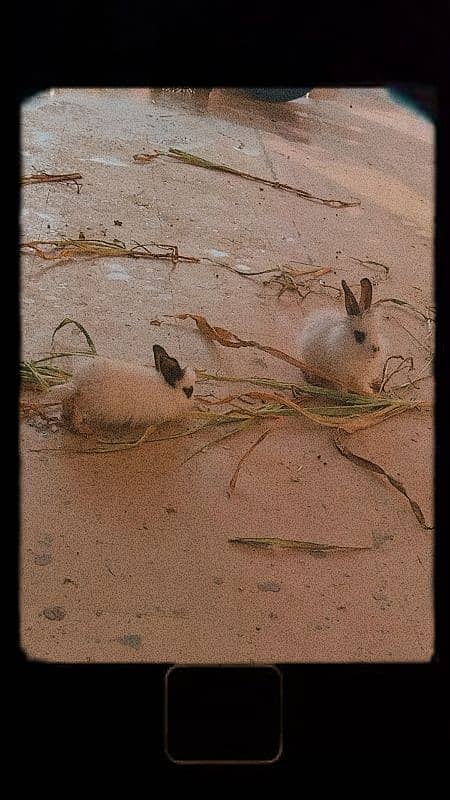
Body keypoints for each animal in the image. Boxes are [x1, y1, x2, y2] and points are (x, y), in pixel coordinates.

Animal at [47, 342, 195, 434]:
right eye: (188, 391)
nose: (193, 402)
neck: (169, 389)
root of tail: (78, 384)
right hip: (88, 404)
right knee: (77, 412)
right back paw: (85, 430)